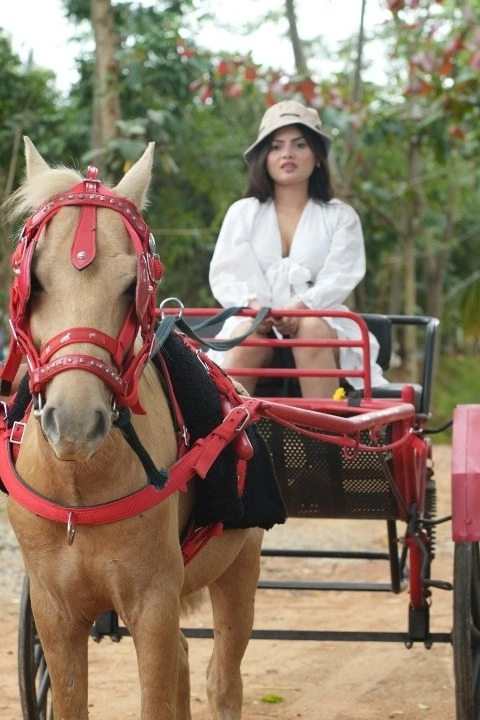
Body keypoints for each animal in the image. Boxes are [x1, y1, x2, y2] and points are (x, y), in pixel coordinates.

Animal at [0, 138, 277, 719]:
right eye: (35, 281)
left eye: (133, 286)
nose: (74, 423)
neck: (78, 489)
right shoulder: (54, 612)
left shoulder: (153, 602)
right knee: (186, 660)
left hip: (240, 566)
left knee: (223, 680)